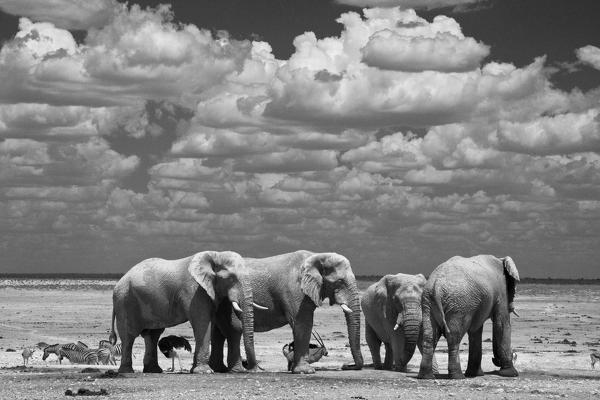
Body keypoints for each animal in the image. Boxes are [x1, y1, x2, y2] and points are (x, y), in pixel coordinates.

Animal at [109, 250, 258, 376]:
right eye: (232, 278)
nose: (250, 367)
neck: (216, 255)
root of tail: (119, 281)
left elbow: (229, 324)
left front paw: (235, 371)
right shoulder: (194, 291)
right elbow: (202, 322)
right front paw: (204, 372)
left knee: (152, 334)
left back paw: (154, 371)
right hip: (125, 301)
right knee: (129, 335)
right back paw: (127, 372)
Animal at [209, 250, 364, 376]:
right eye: (340, 281)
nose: (346, 366)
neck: (317, 256)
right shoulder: (295, 291)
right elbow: (303, 324)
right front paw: (306, 371)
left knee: (219, 332)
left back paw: (219, 369)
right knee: (233, 329)